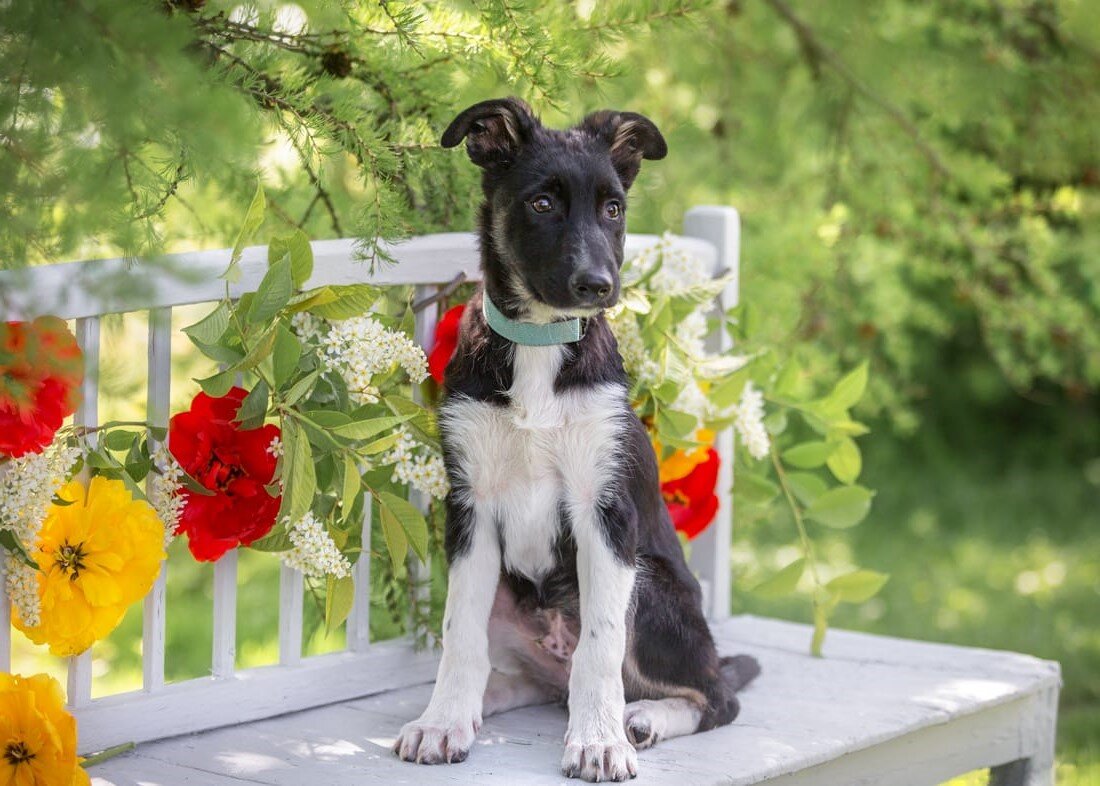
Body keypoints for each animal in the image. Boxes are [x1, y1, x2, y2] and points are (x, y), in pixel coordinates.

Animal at [391, 96, 761, 782]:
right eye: (542, 203)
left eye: (613, 208)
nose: (599, 286)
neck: (540, 343)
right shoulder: (470, 509)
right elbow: (459, 634)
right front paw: (442, 723)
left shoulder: (605, 514)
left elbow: (600, 644)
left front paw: (598, 741)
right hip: (506, 594)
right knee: (519, 677)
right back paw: (479, 707)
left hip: (650, 582)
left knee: (717, 696)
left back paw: (642, 719)